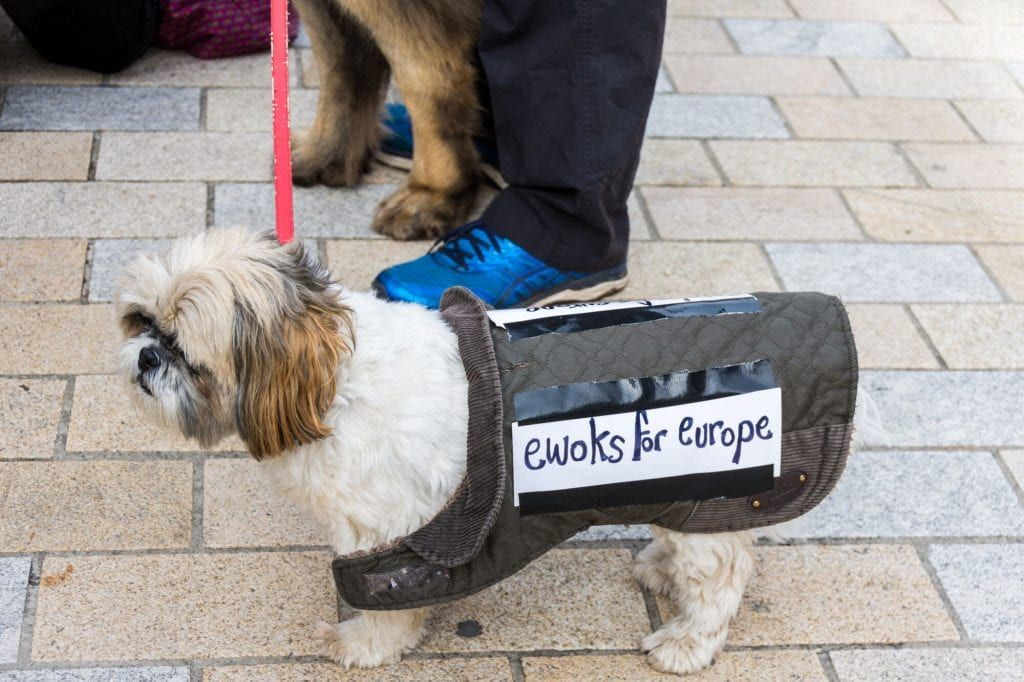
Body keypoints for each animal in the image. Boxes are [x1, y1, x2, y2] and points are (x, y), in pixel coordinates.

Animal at [115, 228, 754, 675]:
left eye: (184, 352)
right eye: (142, 323)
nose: (146, 356)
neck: (330, 385)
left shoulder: (387, 536)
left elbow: (386, 603)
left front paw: (364, 645)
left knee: (722, 573)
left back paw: (687, 641)